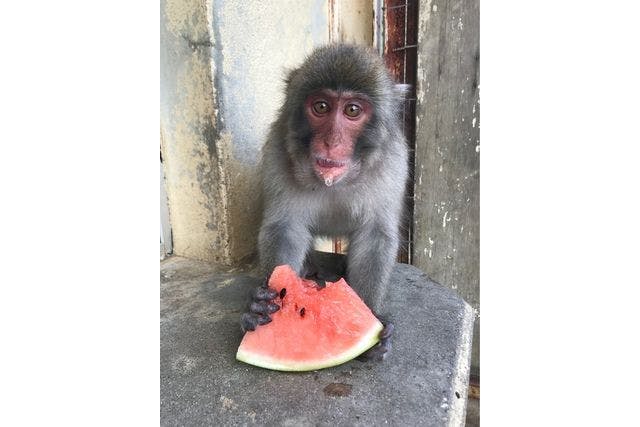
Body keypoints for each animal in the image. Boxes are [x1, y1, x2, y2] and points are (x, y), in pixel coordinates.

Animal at [240, 44, 410, 362]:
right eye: (321, 107)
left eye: (352, 110)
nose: (332, 142)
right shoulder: (278, 151)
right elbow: (285, 228)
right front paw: (259, 307)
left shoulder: (393, 162)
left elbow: (375, 235)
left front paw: (370, 313)